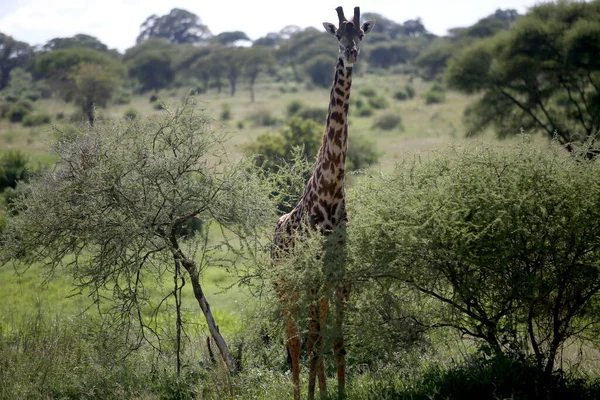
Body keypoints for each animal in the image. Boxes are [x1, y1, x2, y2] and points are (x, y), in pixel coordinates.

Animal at [272, 7, 376, 400]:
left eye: (360, 33)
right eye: (337, 36)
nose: (351, 53)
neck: (331, 190)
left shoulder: (337, 273)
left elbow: (337, 341)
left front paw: (340, 393)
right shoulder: (312, 274)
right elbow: (313, 342)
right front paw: (315, 395)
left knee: (310, 337)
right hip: (285, 285)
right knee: (294, 341)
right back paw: (299, 392)